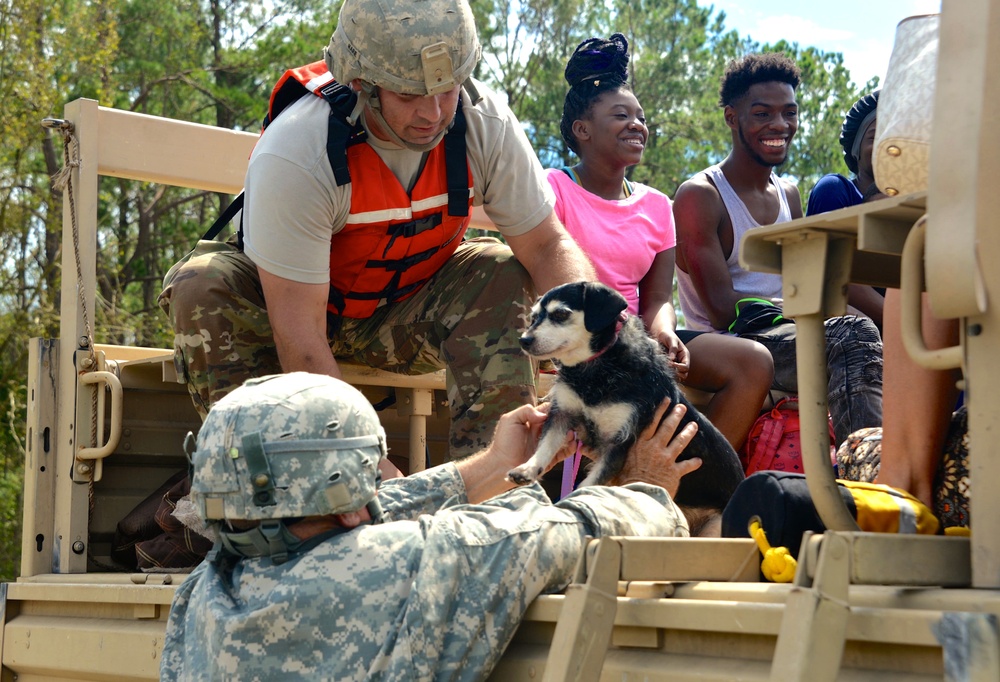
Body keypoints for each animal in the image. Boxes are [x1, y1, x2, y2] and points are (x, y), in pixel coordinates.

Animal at [512, 278, 748, 524]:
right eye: (533, 317)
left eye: (560, 314)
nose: (524, 340)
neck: (594, 369)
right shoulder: (562, 414)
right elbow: (545, 445)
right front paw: (528, 469)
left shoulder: (618, 442)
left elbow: (587, 485)